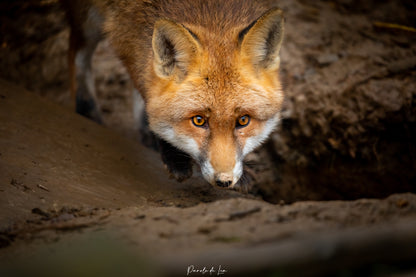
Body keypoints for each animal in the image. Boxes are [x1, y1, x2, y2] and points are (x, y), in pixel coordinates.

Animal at [61, 0, 284, 190]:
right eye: (198, 120)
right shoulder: (124, 33)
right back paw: (88, 112)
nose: (224, 181)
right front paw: (173, 155)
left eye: (243, 120)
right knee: (77, 52)